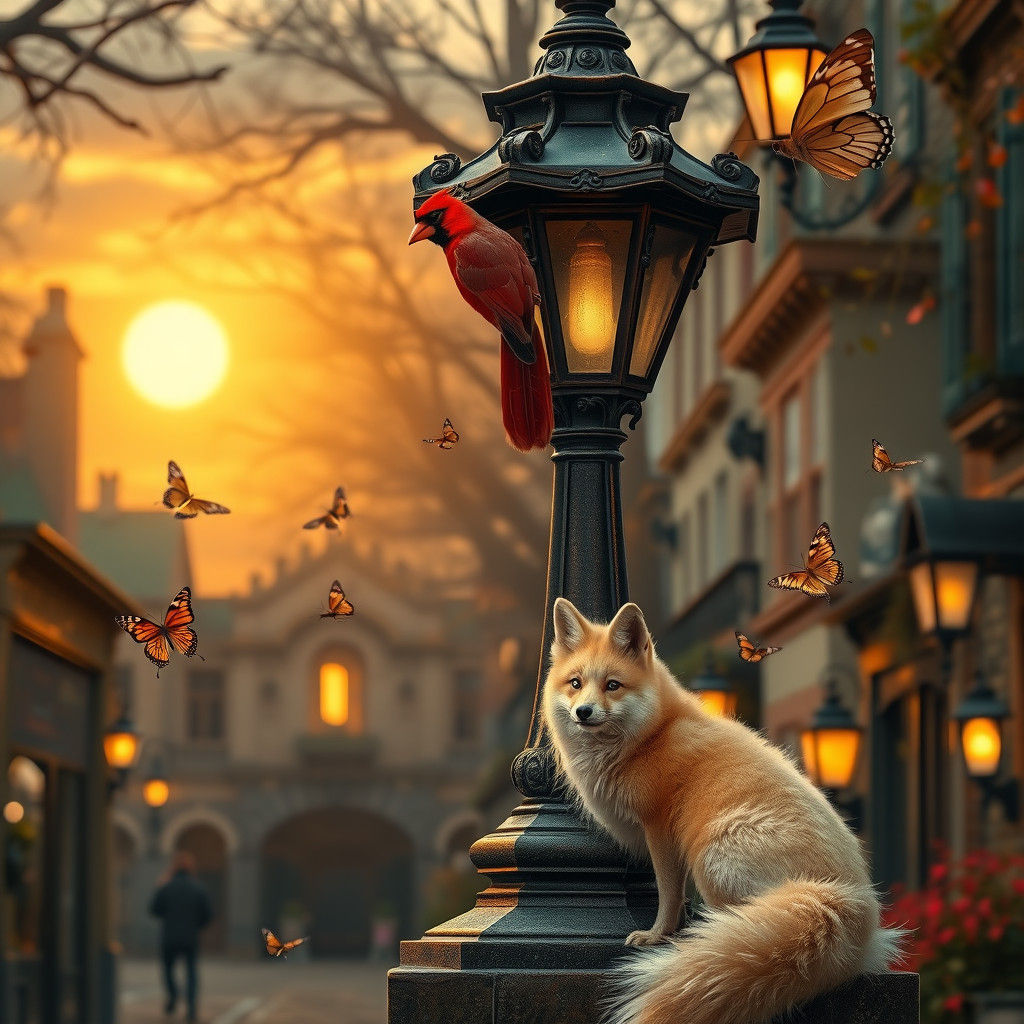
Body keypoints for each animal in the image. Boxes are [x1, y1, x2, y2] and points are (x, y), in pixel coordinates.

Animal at [541, 597, 907, 1024]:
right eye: (576, 683)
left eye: (612, 685)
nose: (583, 712)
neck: (650, 736)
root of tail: (851, 904)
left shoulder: (661, 831)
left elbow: (667, 896)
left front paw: (657, 937)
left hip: (712, 855)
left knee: (734, 921)